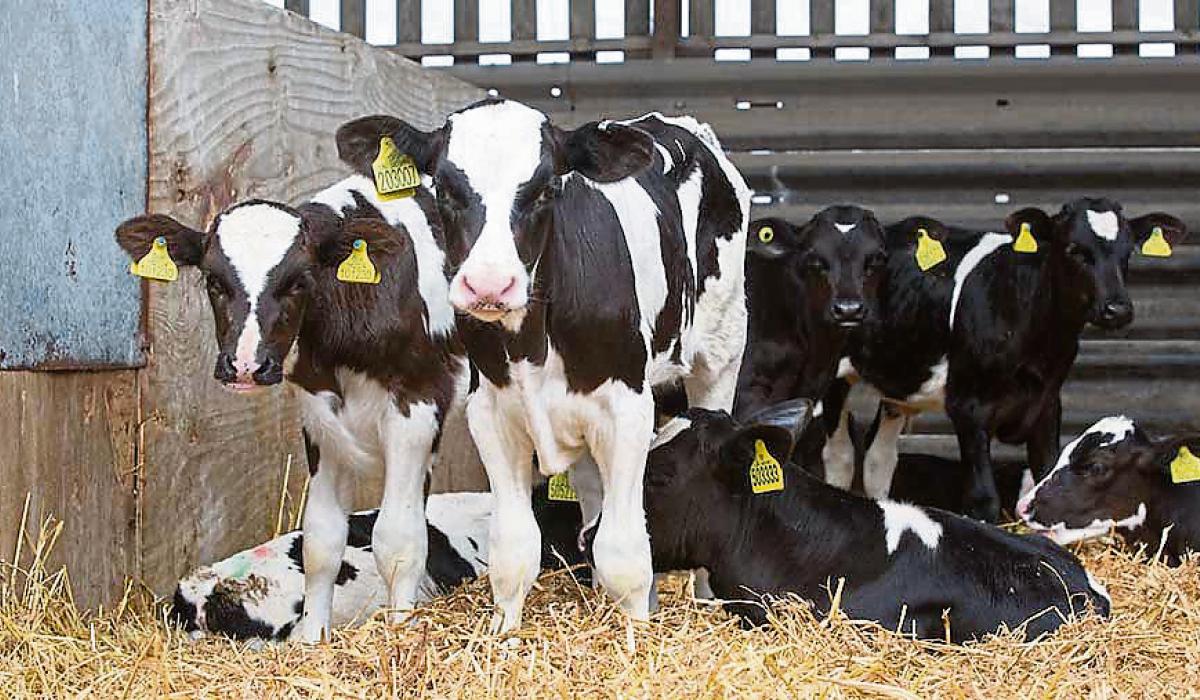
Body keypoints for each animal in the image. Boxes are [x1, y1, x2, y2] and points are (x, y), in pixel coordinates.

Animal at [114, 175, 460, 642]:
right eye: (213, 280)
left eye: (298, 281)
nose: (245, 365)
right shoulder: (320, 415)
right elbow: (321, 539)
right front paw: (313, 637)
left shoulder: (418, 405)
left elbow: (398, 539)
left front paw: (401, 633)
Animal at [335, 99, 751, 631]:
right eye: (444, 188)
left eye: (546, 189)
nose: (490, 284)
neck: (530, 341)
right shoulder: (492, 414)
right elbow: (514, 551)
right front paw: (505, 636)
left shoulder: (627, 407)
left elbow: (624, 552)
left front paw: (636, 635)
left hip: (721, 352)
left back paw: (703, 600)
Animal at [829, 199, 1186, 522]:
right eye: (1074, 249)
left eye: (1128, 252)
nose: (1117, 309)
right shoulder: (969, 408)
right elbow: (982, 499)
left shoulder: (1047, 403)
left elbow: (1045, 472)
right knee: (841, 456)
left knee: (878, 457)